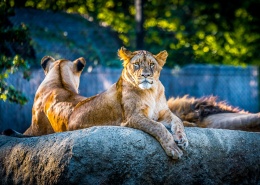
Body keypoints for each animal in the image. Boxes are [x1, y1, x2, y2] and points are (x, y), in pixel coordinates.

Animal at [2, 47, 189, 159]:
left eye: (151, 64)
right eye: (136, 65)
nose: (145, 75)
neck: (151, 91)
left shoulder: (163, 113)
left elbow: (178, 120)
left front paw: (182, 139)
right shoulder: (133, 116)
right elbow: (158, 127)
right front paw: (173, 149)